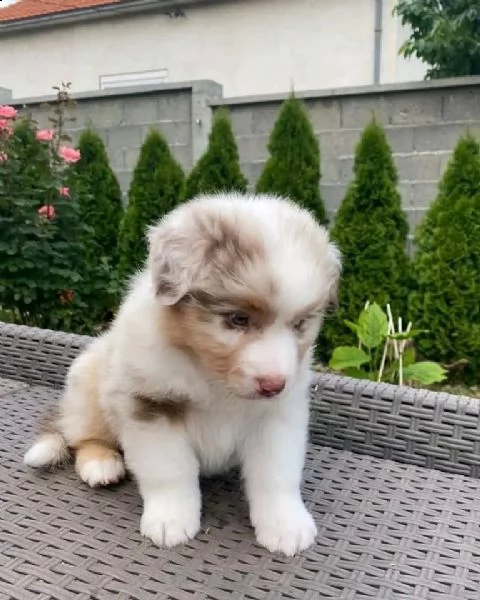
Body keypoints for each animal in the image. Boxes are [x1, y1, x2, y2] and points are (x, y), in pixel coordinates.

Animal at [23, 193, 342, 556]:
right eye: (237, 319)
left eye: (300, 324)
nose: (273, 384)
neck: (211, 374)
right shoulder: (149, 404)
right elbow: (169, 470)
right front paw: (170, 520)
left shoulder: (278, 413)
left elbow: (277, 472)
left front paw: (285, 524)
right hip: (87, 382)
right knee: (83, 436)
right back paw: (101, 463)